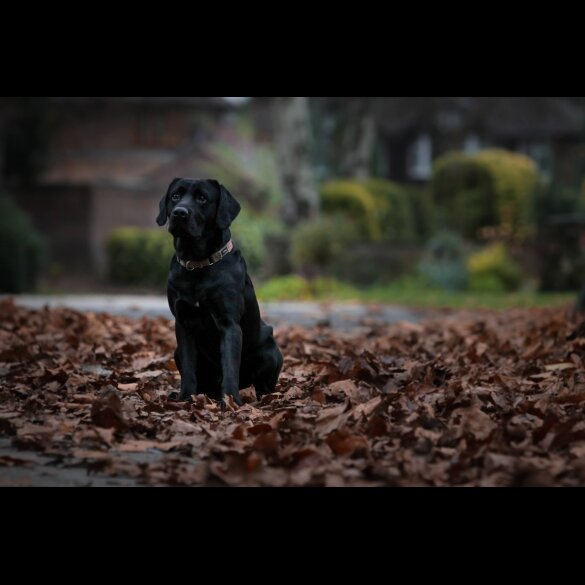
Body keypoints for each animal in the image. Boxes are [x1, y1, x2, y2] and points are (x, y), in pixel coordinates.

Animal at [155, 179, 282, 406]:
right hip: (176, 351)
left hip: (270, 352)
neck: (198, 263)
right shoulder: (183, 323)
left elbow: (230, 366)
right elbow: (188, 368)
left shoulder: (229, 323)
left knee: (262, 385)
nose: (179, 213)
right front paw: (185, 398)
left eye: (202, 198)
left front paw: (230, 401)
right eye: (175, 196)